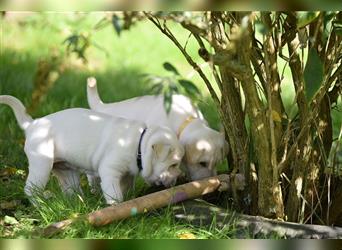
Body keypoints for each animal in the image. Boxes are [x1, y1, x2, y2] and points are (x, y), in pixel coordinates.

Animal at [0, 94, 184, 204]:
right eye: (173, 165)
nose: (180, 176)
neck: (140, 143)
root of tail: (32, 124)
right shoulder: (110, 170)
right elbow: (115, 193)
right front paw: (116, 207)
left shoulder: (126, 174)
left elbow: (126, 188)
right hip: (42, 164)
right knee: (30, 189)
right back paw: (40, 205)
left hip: (66, 171)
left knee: (70, 189)